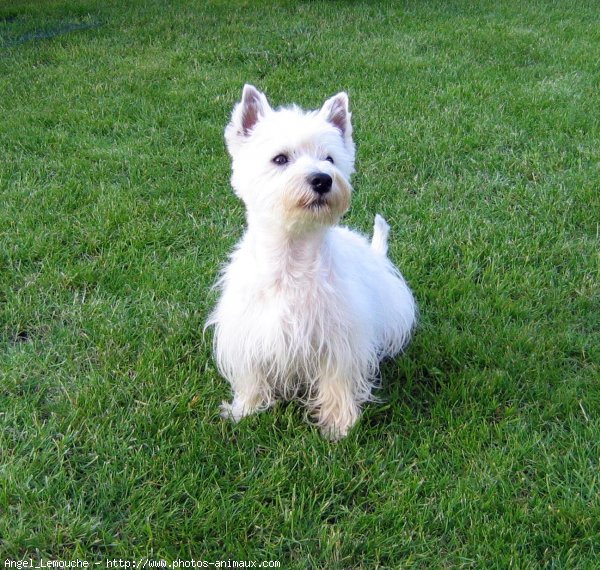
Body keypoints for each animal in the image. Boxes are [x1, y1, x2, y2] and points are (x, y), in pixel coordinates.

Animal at [206, 85, 418, 440]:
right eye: (280, 158)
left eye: (329, 158)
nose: (322, 180)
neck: (292, 257)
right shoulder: (248, 331)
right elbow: (251, 375)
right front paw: (245, 410)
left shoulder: (340, 338)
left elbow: (337, 381)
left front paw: (339, 425)